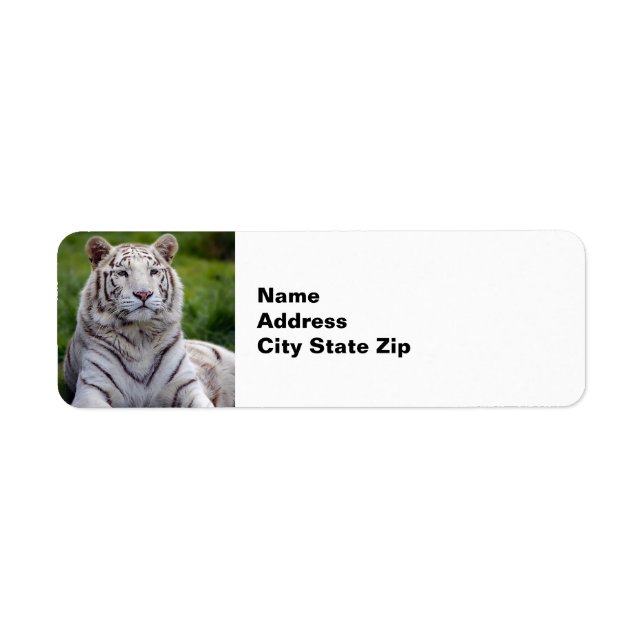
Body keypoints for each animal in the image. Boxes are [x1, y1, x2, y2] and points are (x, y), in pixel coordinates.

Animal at [63, 234, 235, 408]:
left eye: (153, 271)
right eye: (122, 273)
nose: (144, 294)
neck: (140, 335)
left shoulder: (185, 385)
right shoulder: (92, 388)